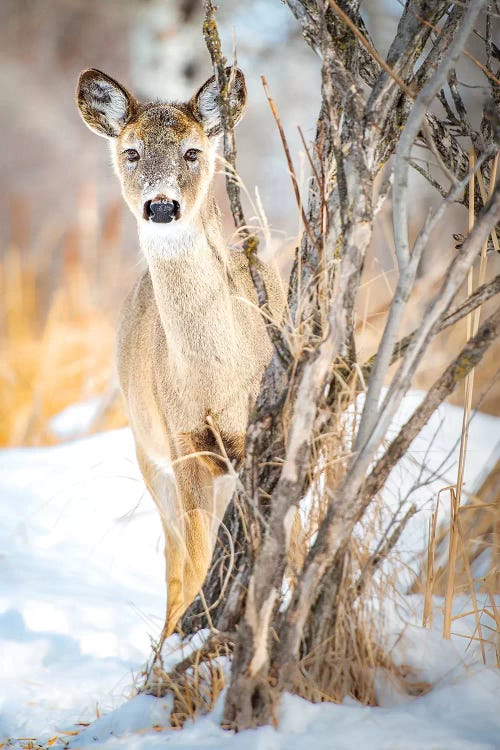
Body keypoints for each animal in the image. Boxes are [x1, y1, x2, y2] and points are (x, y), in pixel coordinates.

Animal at [75, 67, 286, 640]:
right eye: (131, 152)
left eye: (192, 151)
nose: (162, 206)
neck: (216, 381)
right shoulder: (183, 443)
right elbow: (194, 563)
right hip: (147, 453)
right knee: (175, 561)